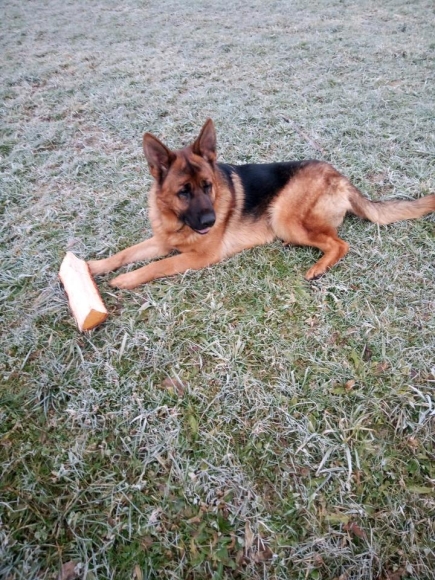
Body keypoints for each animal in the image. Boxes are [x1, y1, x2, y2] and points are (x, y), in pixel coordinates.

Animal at [88, 119, 435, 289]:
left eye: (208, 186)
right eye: (183, 192)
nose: (211, 222)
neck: (176, 221)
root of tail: (339, 176)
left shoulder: (198, 257)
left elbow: (155, 266)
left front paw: (125, 280)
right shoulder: (161, 241)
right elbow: (123, 254)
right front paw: (93, 267)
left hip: (284, 217)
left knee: (339, 243)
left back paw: (319, 267)